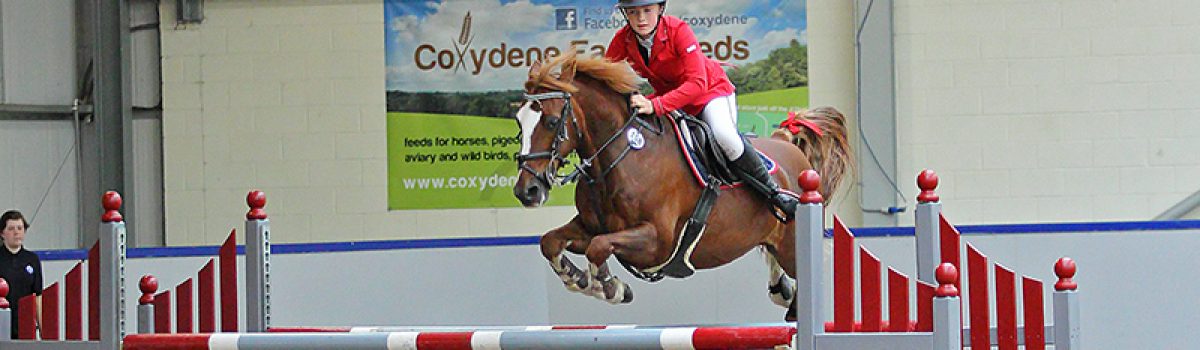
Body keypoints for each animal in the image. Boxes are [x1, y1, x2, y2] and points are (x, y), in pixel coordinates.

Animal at [511, 51, 849, 316]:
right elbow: (551, 241)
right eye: (518, 122)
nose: (526, 191)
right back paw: (782, 290)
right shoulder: (591, 226)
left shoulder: (656, 241)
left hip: (792, 241)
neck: (619, 158)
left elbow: (598, 247)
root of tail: (786, 143)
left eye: (551, 122)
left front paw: (611, 287)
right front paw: (577, 279)